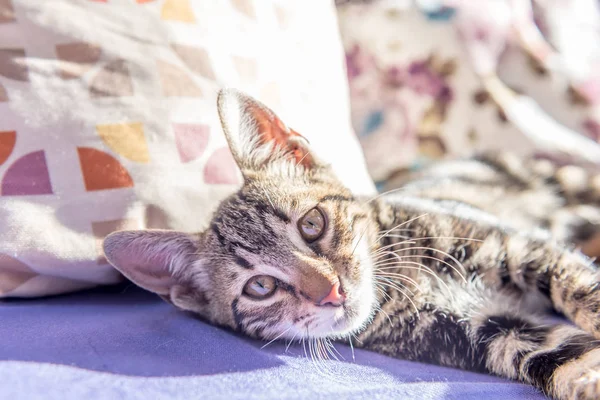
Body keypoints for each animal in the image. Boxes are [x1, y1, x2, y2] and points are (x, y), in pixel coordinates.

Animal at [103, 90, 600, 400]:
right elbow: (555, 353)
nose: (331, 290)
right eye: (260, 287)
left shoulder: (515, 245)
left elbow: (583, 291)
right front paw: (585, 375)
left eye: (311, 224)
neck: (401, 286)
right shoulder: (485, 330)